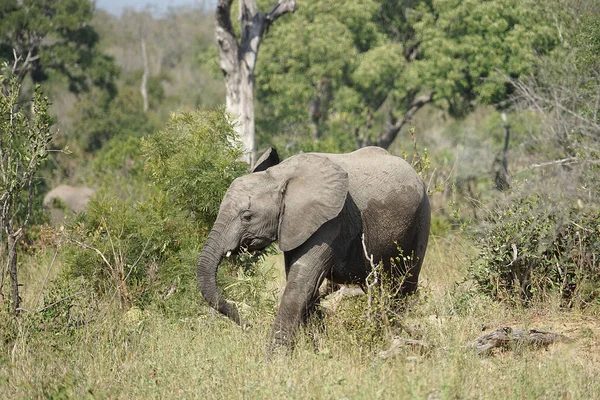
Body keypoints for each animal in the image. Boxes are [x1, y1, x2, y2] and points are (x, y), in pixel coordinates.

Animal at [198, 145, 432, 352]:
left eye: (247, 217)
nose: (247, 323)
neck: (279, 176)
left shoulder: (330, 221)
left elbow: (302, 282)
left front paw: (276, 360)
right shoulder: (296, 224)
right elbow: (305, 285)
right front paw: (317, 349)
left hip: (421, 219)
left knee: (402, 285)